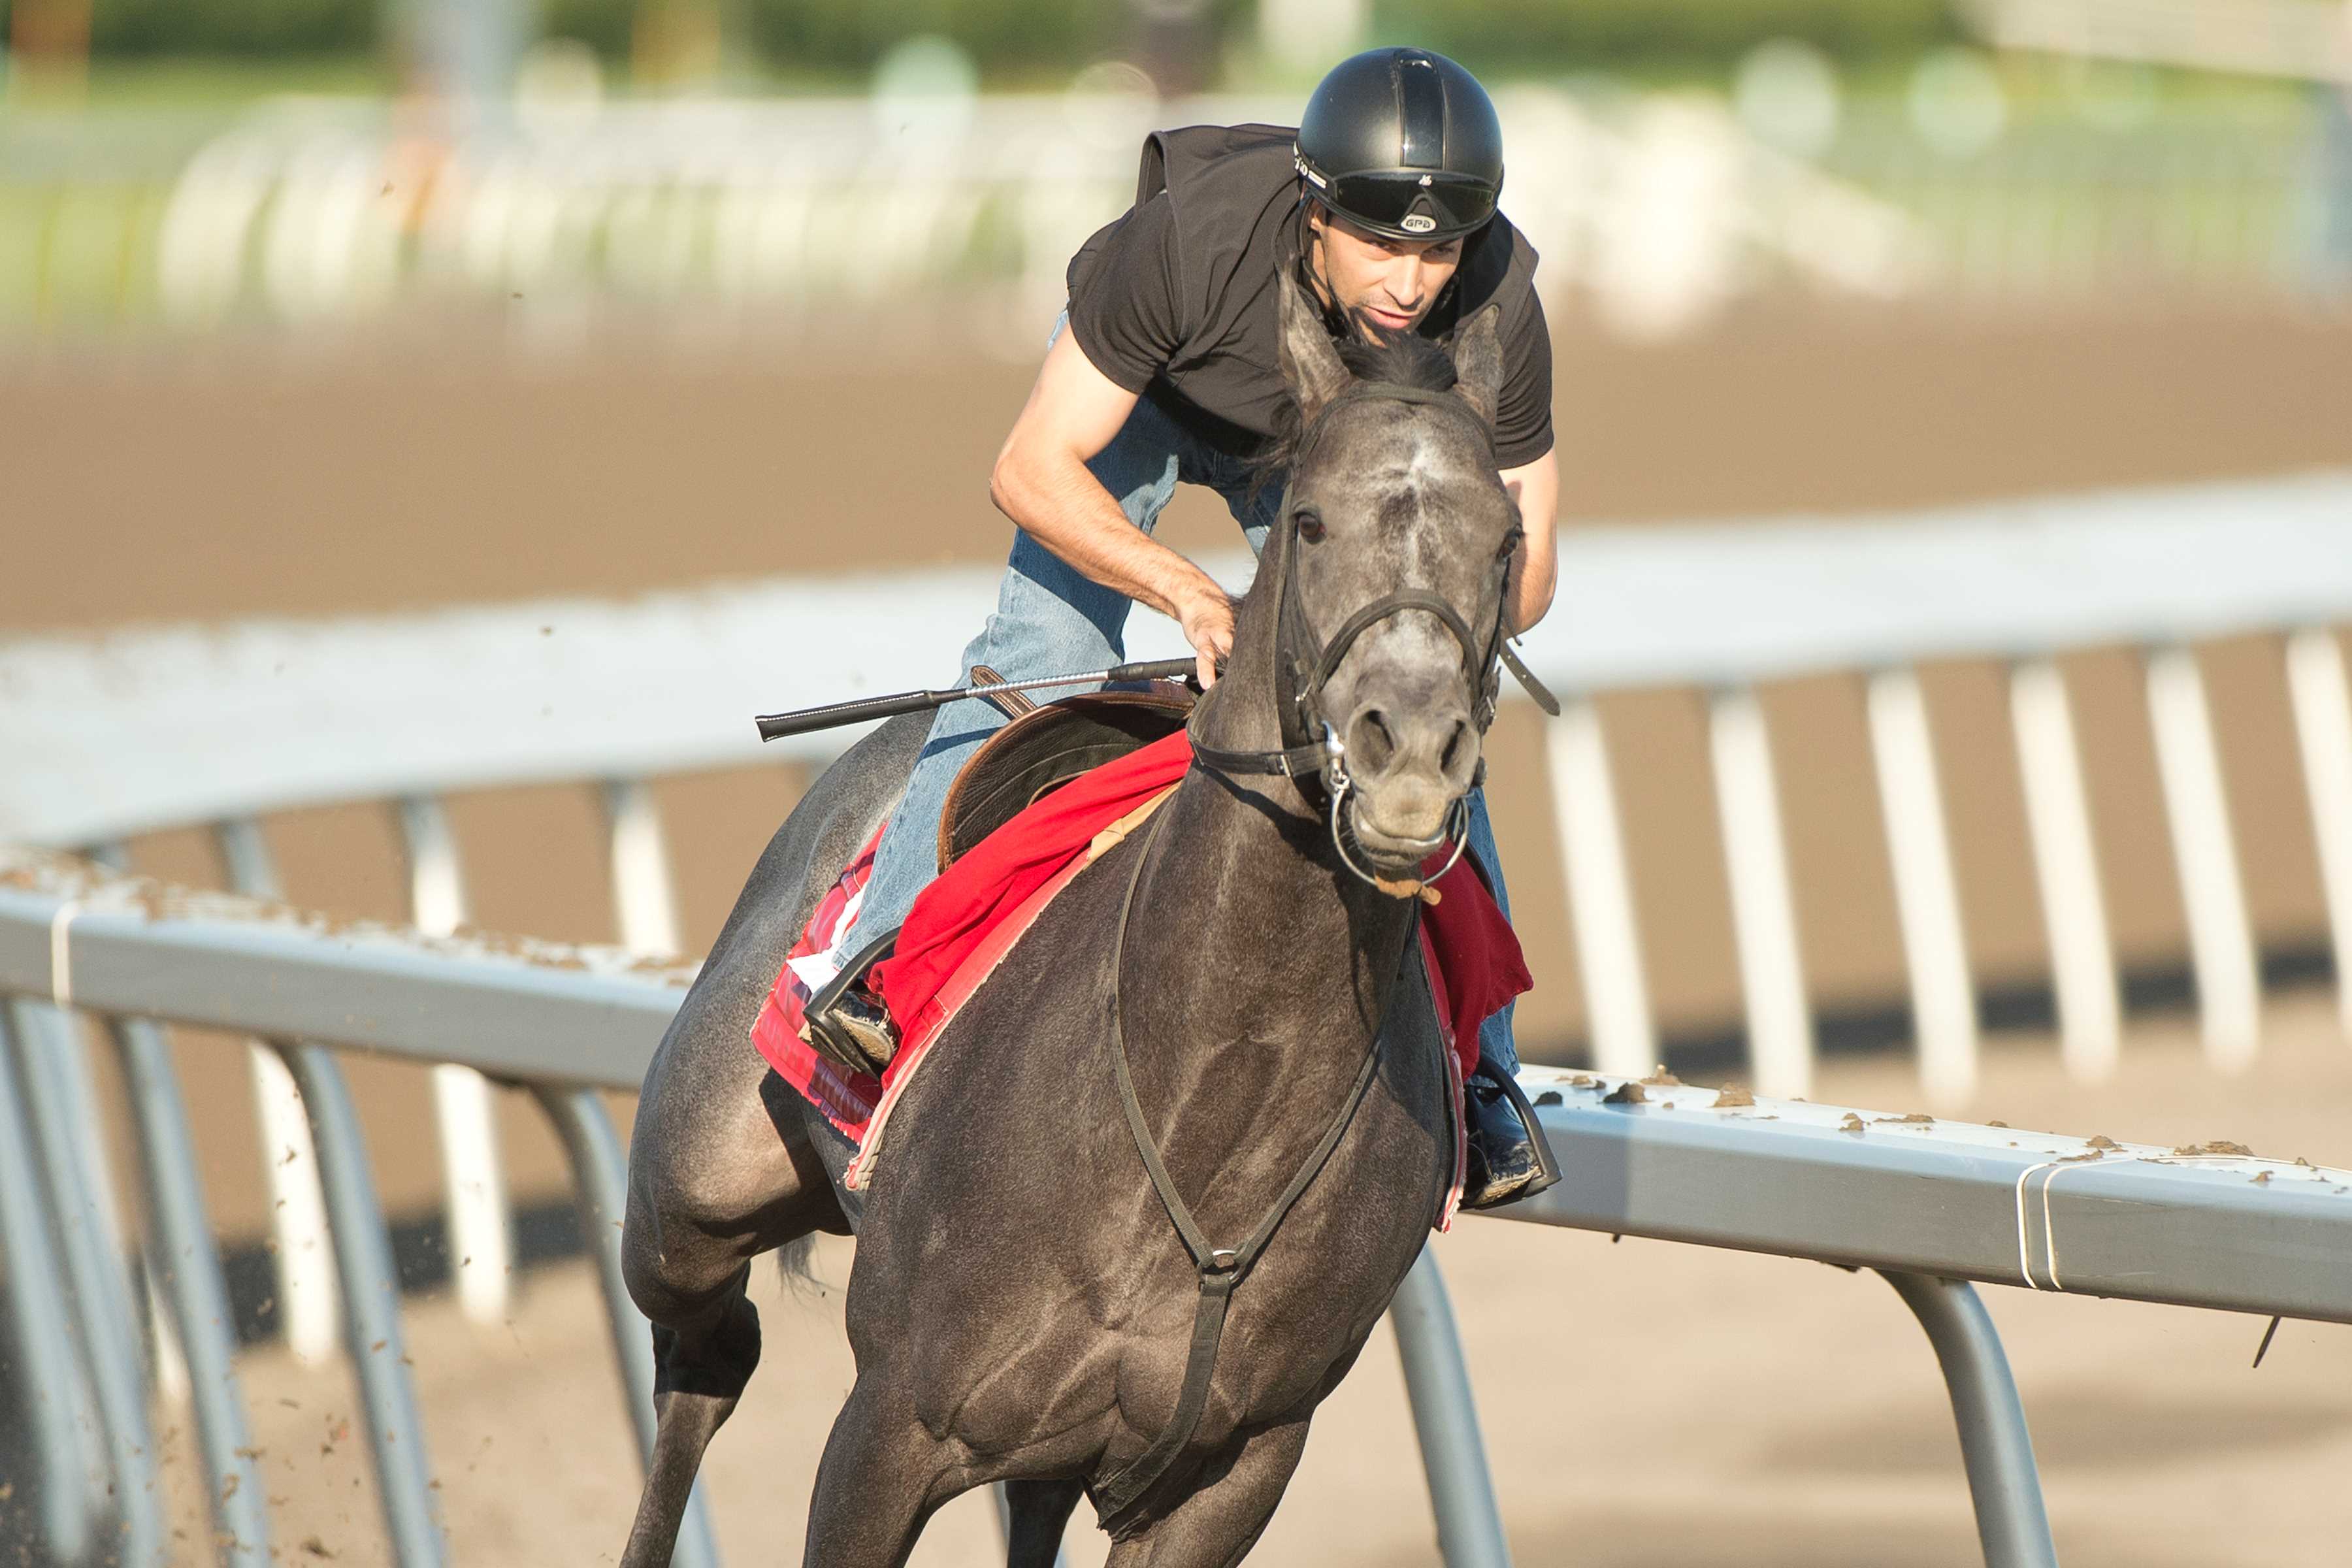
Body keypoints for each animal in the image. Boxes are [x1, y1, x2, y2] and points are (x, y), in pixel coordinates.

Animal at [616, 276, 1514, 1561]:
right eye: (1308, 523)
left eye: (1507, 541)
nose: (1410, 763)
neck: (1211, 1118)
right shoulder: (890, 1421)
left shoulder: (1229, 1467)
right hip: (691, 1189)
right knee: (703, 1347)